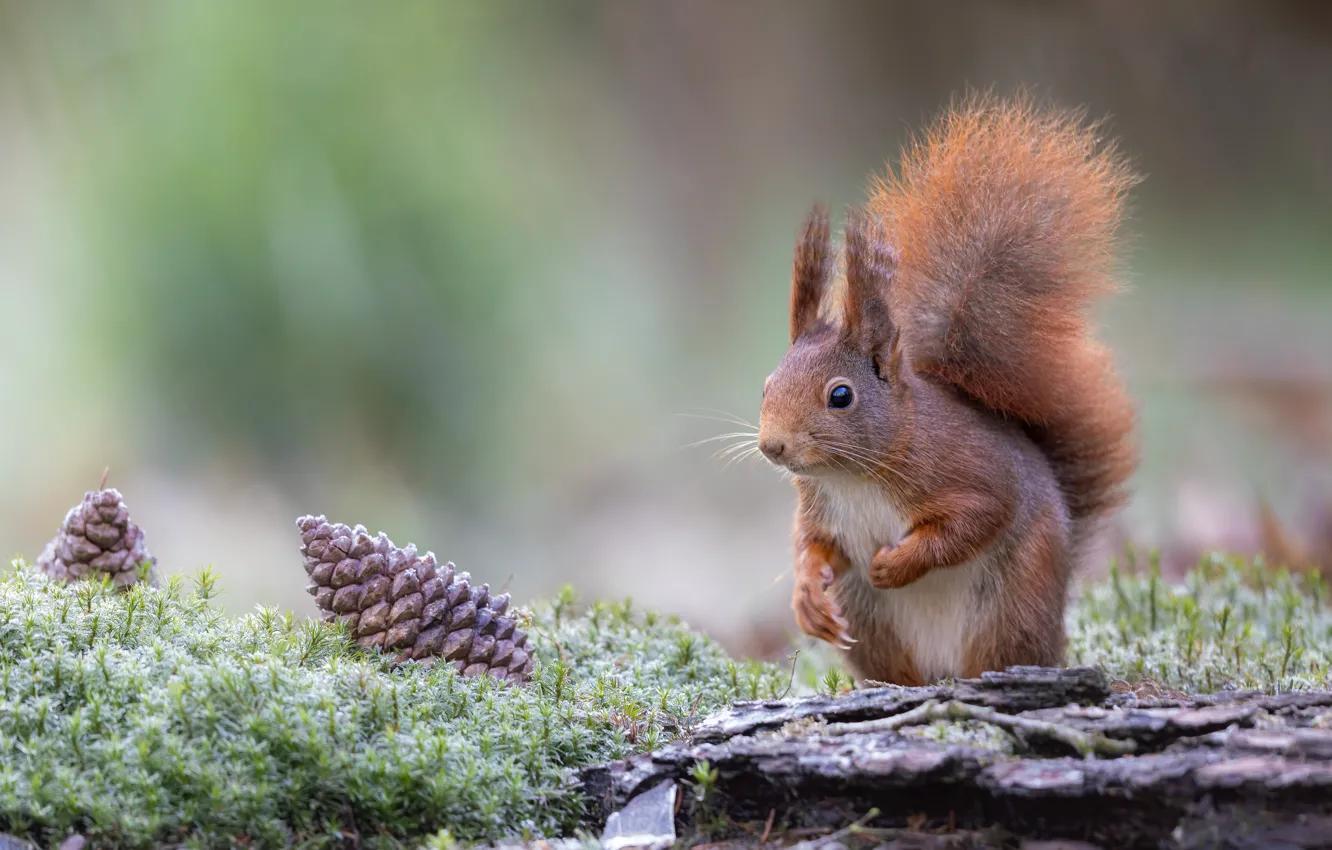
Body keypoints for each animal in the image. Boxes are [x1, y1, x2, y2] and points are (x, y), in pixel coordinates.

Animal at [761, 96, 1134, 687]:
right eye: (767, 383)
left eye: (840, 396)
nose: (771, 446)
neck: (853, 478)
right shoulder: (821, 509)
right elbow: (814, 547)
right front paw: (806, 598)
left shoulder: (970, 472)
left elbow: (974, 521)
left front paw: (894, 563)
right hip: (873, 625)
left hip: (1014, 603)